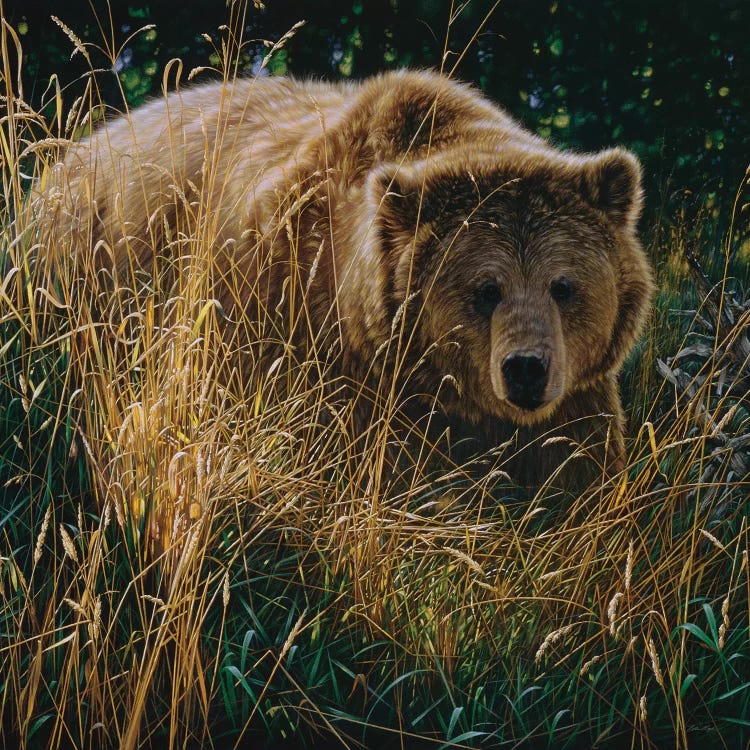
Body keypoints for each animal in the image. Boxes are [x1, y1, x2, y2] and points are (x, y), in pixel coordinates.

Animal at [38, 70, 656, 494]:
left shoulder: (575, 399)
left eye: (563, 286)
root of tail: (67, 157)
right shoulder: (303, 338)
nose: (526, 368)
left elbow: (579, 478)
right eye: (487, 289)